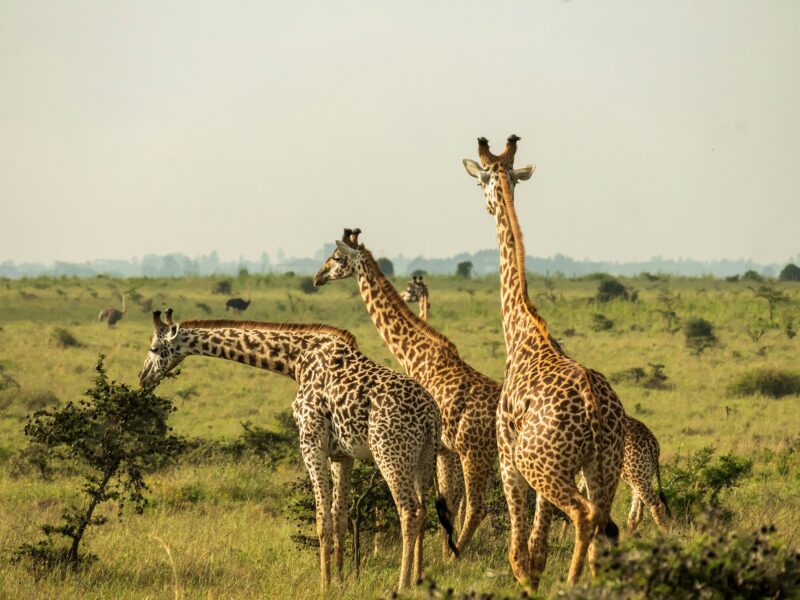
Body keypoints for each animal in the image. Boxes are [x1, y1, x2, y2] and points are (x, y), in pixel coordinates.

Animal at [138, 309, 454, 591]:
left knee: (409, 511)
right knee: (424, 509)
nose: (142, 377)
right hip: (425, 456)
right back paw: (418, 578)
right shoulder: (342, 454)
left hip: (390, 452)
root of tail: (430, 414)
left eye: (154, 348)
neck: (296, 360)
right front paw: (341, 581)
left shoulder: (310, 441)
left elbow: (322, 518)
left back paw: (402, 583)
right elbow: (340, 516)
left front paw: (324, 584)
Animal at [314, 229, 502, 557]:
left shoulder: (442, 447)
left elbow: (445, 502)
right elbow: (445, 502)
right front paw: (439, 552)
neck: (415, 355)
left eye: (336, 258)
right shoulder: (444, 448)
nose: (317, 277)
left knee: (478, 506)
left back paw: (458, 556)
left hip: (476, 453)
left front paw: (440, 555)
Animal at [462, 136, 625, 589]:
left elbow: (521, 552)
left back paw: (571, 585)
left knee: (584, 516)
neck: (521, 333)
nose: (485, 206)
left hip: (546, 465)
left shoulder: (508, 456)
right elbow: (537, 547)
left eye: (479, 181)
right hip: (604, 465)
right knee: (604, 525)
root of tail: (593, 407)